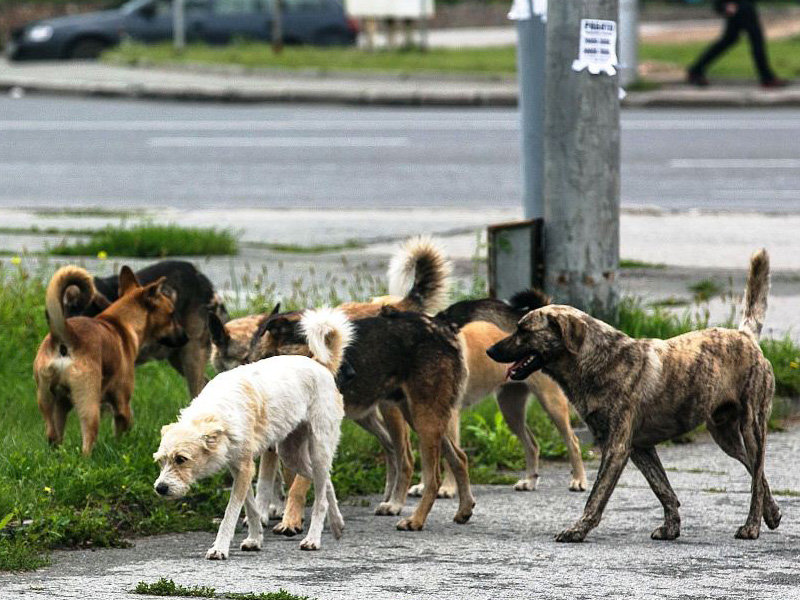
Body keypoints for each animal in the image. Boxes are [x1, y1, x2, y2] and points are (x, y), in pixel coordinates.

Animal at [34, 264, 188, 452]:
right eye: (171, 314)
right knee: (87, 439)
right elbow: (122, 430)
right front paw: (122, 448)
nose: (186, 337)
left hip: (48, 402)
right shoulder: (122, 405)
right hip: (89, 405)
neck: (121, 322)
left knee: (52, 435)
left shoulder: (62, 405)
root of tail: (65, 335)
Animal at [153, 310, 354, 556]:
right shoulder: (240, 469)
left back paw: (313, 538)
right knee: (325, 483)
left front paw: (220, 548)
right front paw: (255, 539)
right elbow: (251, 508)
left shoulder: (245, 469)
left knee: (320, 498)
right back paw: (336, 524)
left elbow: (231, 513)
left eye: (181, 459)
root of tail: (320, 365)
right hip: (292, 455)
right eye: (160, 461)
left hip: (318, 448)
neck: (217, 412)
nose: (160, 488)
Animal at [488, 250, 780, 544]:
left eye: (523, 330)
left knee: (756, 476)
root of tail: (745, 336)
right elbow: (663, 488)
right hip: (724, 435)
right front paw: (671, 527)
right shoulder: (640, 448)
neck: (598, 360)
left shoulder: (616, 448)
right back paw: (772, 512)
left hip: (752, 427)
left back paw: (752, 526)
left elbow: (596, 496)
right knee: (757, 472)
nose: (489, 350)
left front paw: (577, 529)